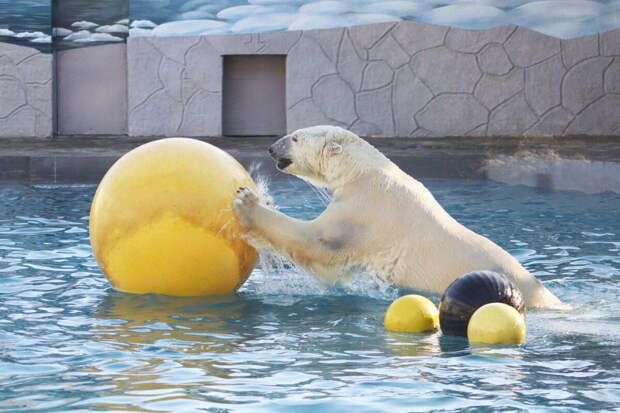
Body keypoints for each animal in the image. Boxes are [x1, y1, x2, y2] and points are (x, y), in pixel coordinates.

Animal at [232, 124, 560, 308]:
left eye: (296, 138)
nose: (271, 148)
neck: (364, 171)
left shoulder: (366, 209)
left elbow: (319, 242)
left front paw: (248, 203)